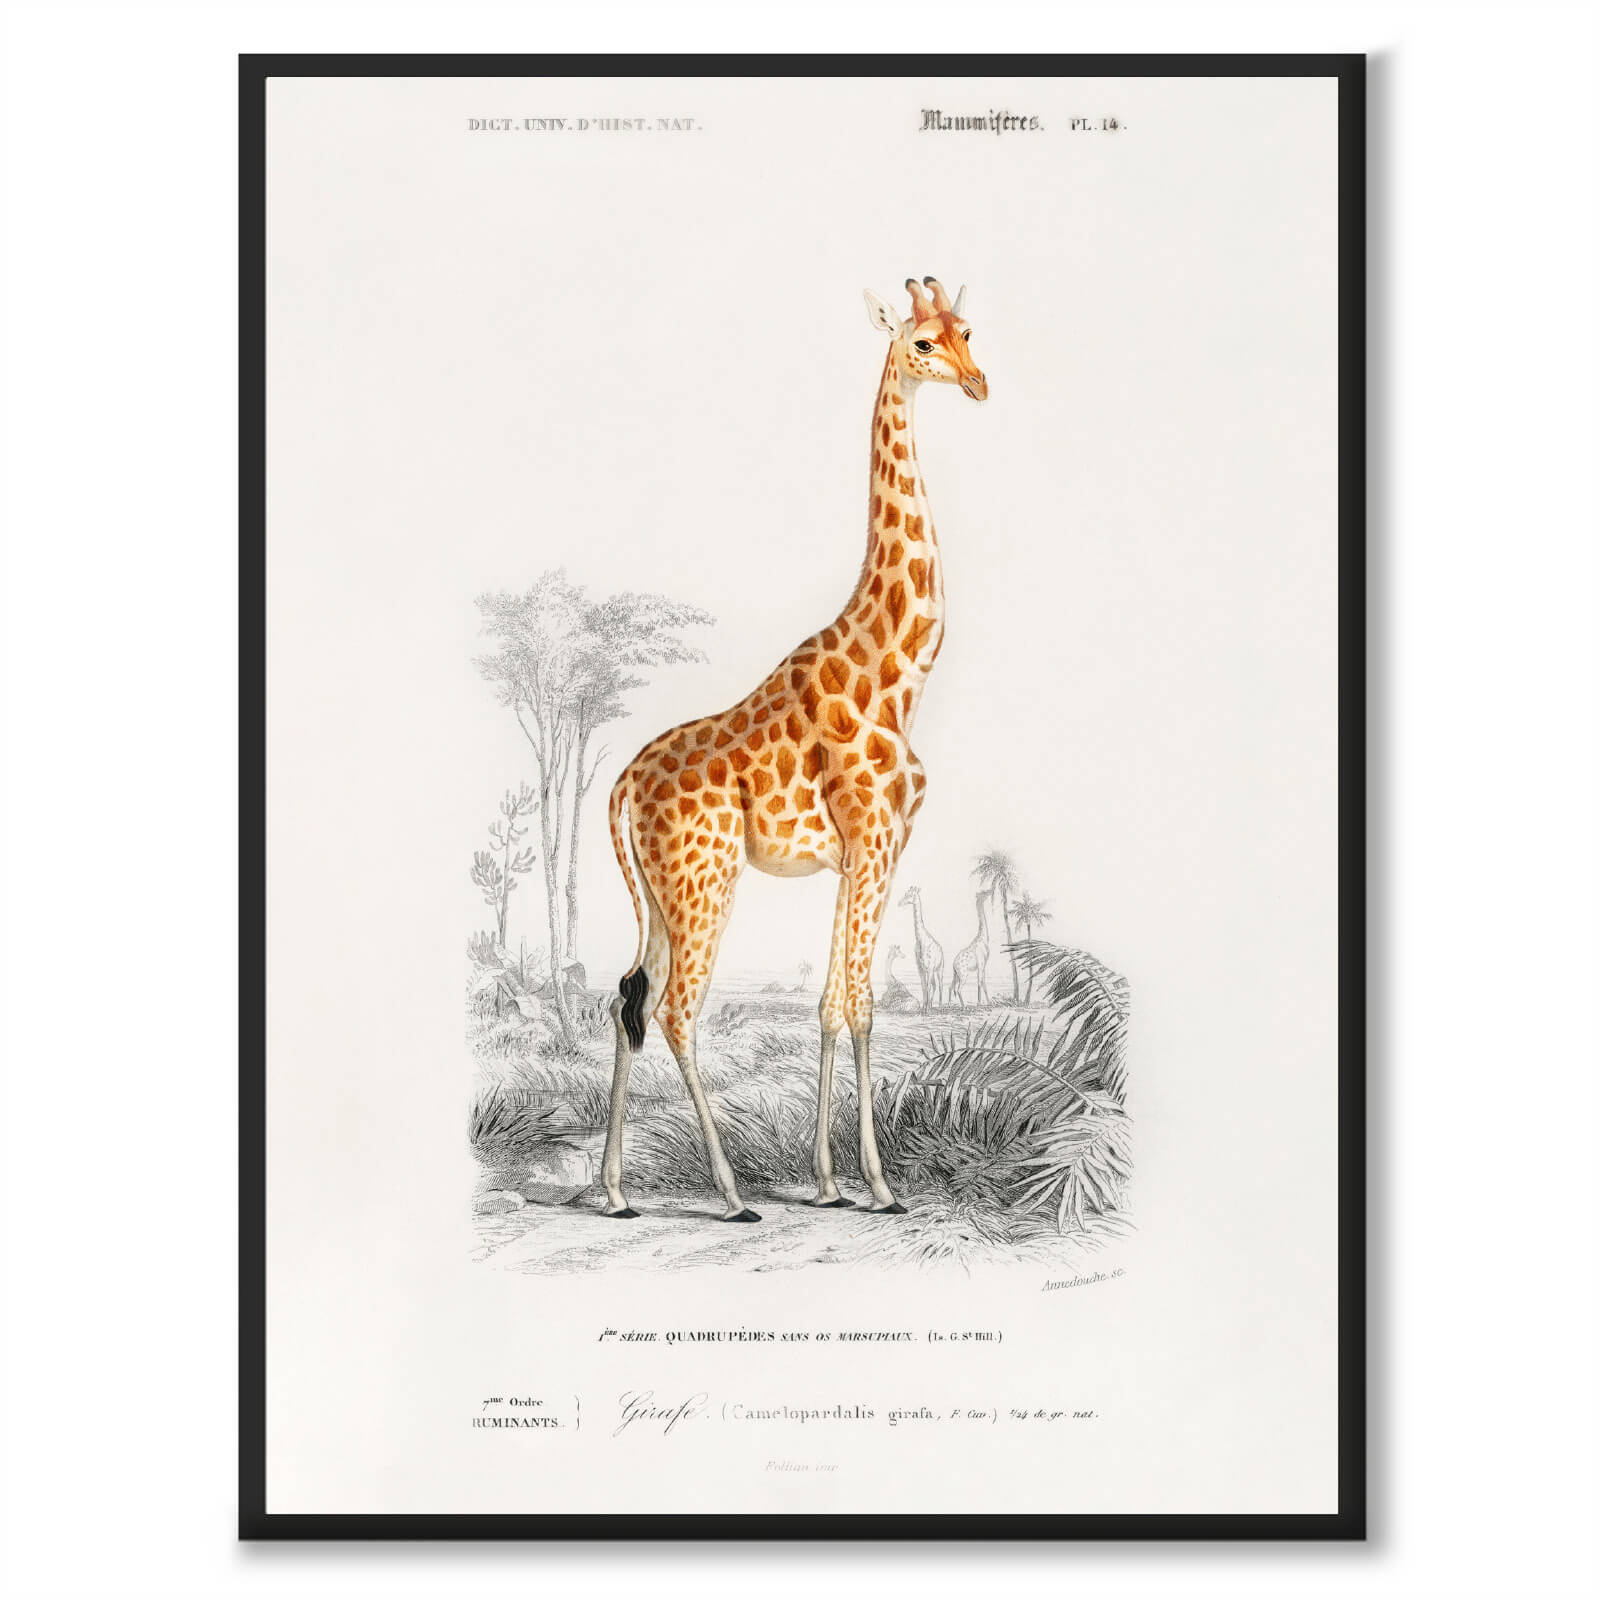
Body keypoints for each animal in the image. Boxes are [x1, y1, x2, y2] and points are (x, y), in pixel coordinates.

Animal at [601, 275, 987, 1221]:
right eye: (921, 343)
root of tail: (620, 785)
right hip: (704, 883)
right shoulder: (876, 842)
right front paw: (879, 1186)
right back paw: (733, 1194)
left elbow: (831, 1003)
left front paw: (829, 1182)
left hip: (662, 895)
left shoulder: (861, 855)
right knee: (675, 1012)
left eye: (968, 331)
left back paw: (614, 1192)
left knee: (627, 997)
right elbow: (863, 1005)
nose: (978, 384)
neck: (900, 673)